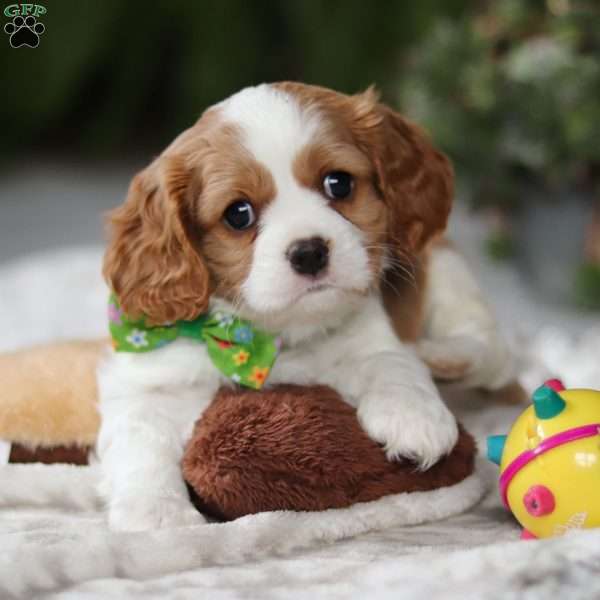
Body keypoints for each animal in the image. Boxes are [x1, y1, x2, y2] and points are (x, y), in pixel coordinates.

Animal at [96, 81, 512, 528]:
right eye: (238, 214)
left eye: (339, 183)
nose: (309, 252)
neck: (271, 335)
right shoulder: (149, 379)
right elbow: (141, 436)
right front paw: (155, 512)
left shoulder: (370, 335)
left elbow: (392, 362)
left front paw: (414, 416)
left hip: (448, 270)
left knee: (490, 347)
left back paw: (444, 356)